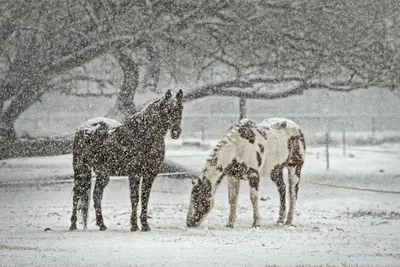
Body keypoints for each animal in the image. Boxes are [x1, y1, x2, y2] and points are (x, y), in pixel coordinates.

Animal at [69, 89, 184, 232]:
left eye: (180, 108)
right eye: (167, 109)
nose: (176, 132)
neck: (143, 135)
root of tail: (83, 128)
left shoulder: (150, 174)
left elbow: (145, 198)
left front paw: (145, 225)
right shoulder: (134, 173)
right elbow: (135, 198)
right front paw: (134, 225)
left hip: (103, 174)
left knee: (96, 195)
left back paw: (102, 224)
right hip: (80, 169)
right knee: (77, 193)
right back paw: (73, 225)